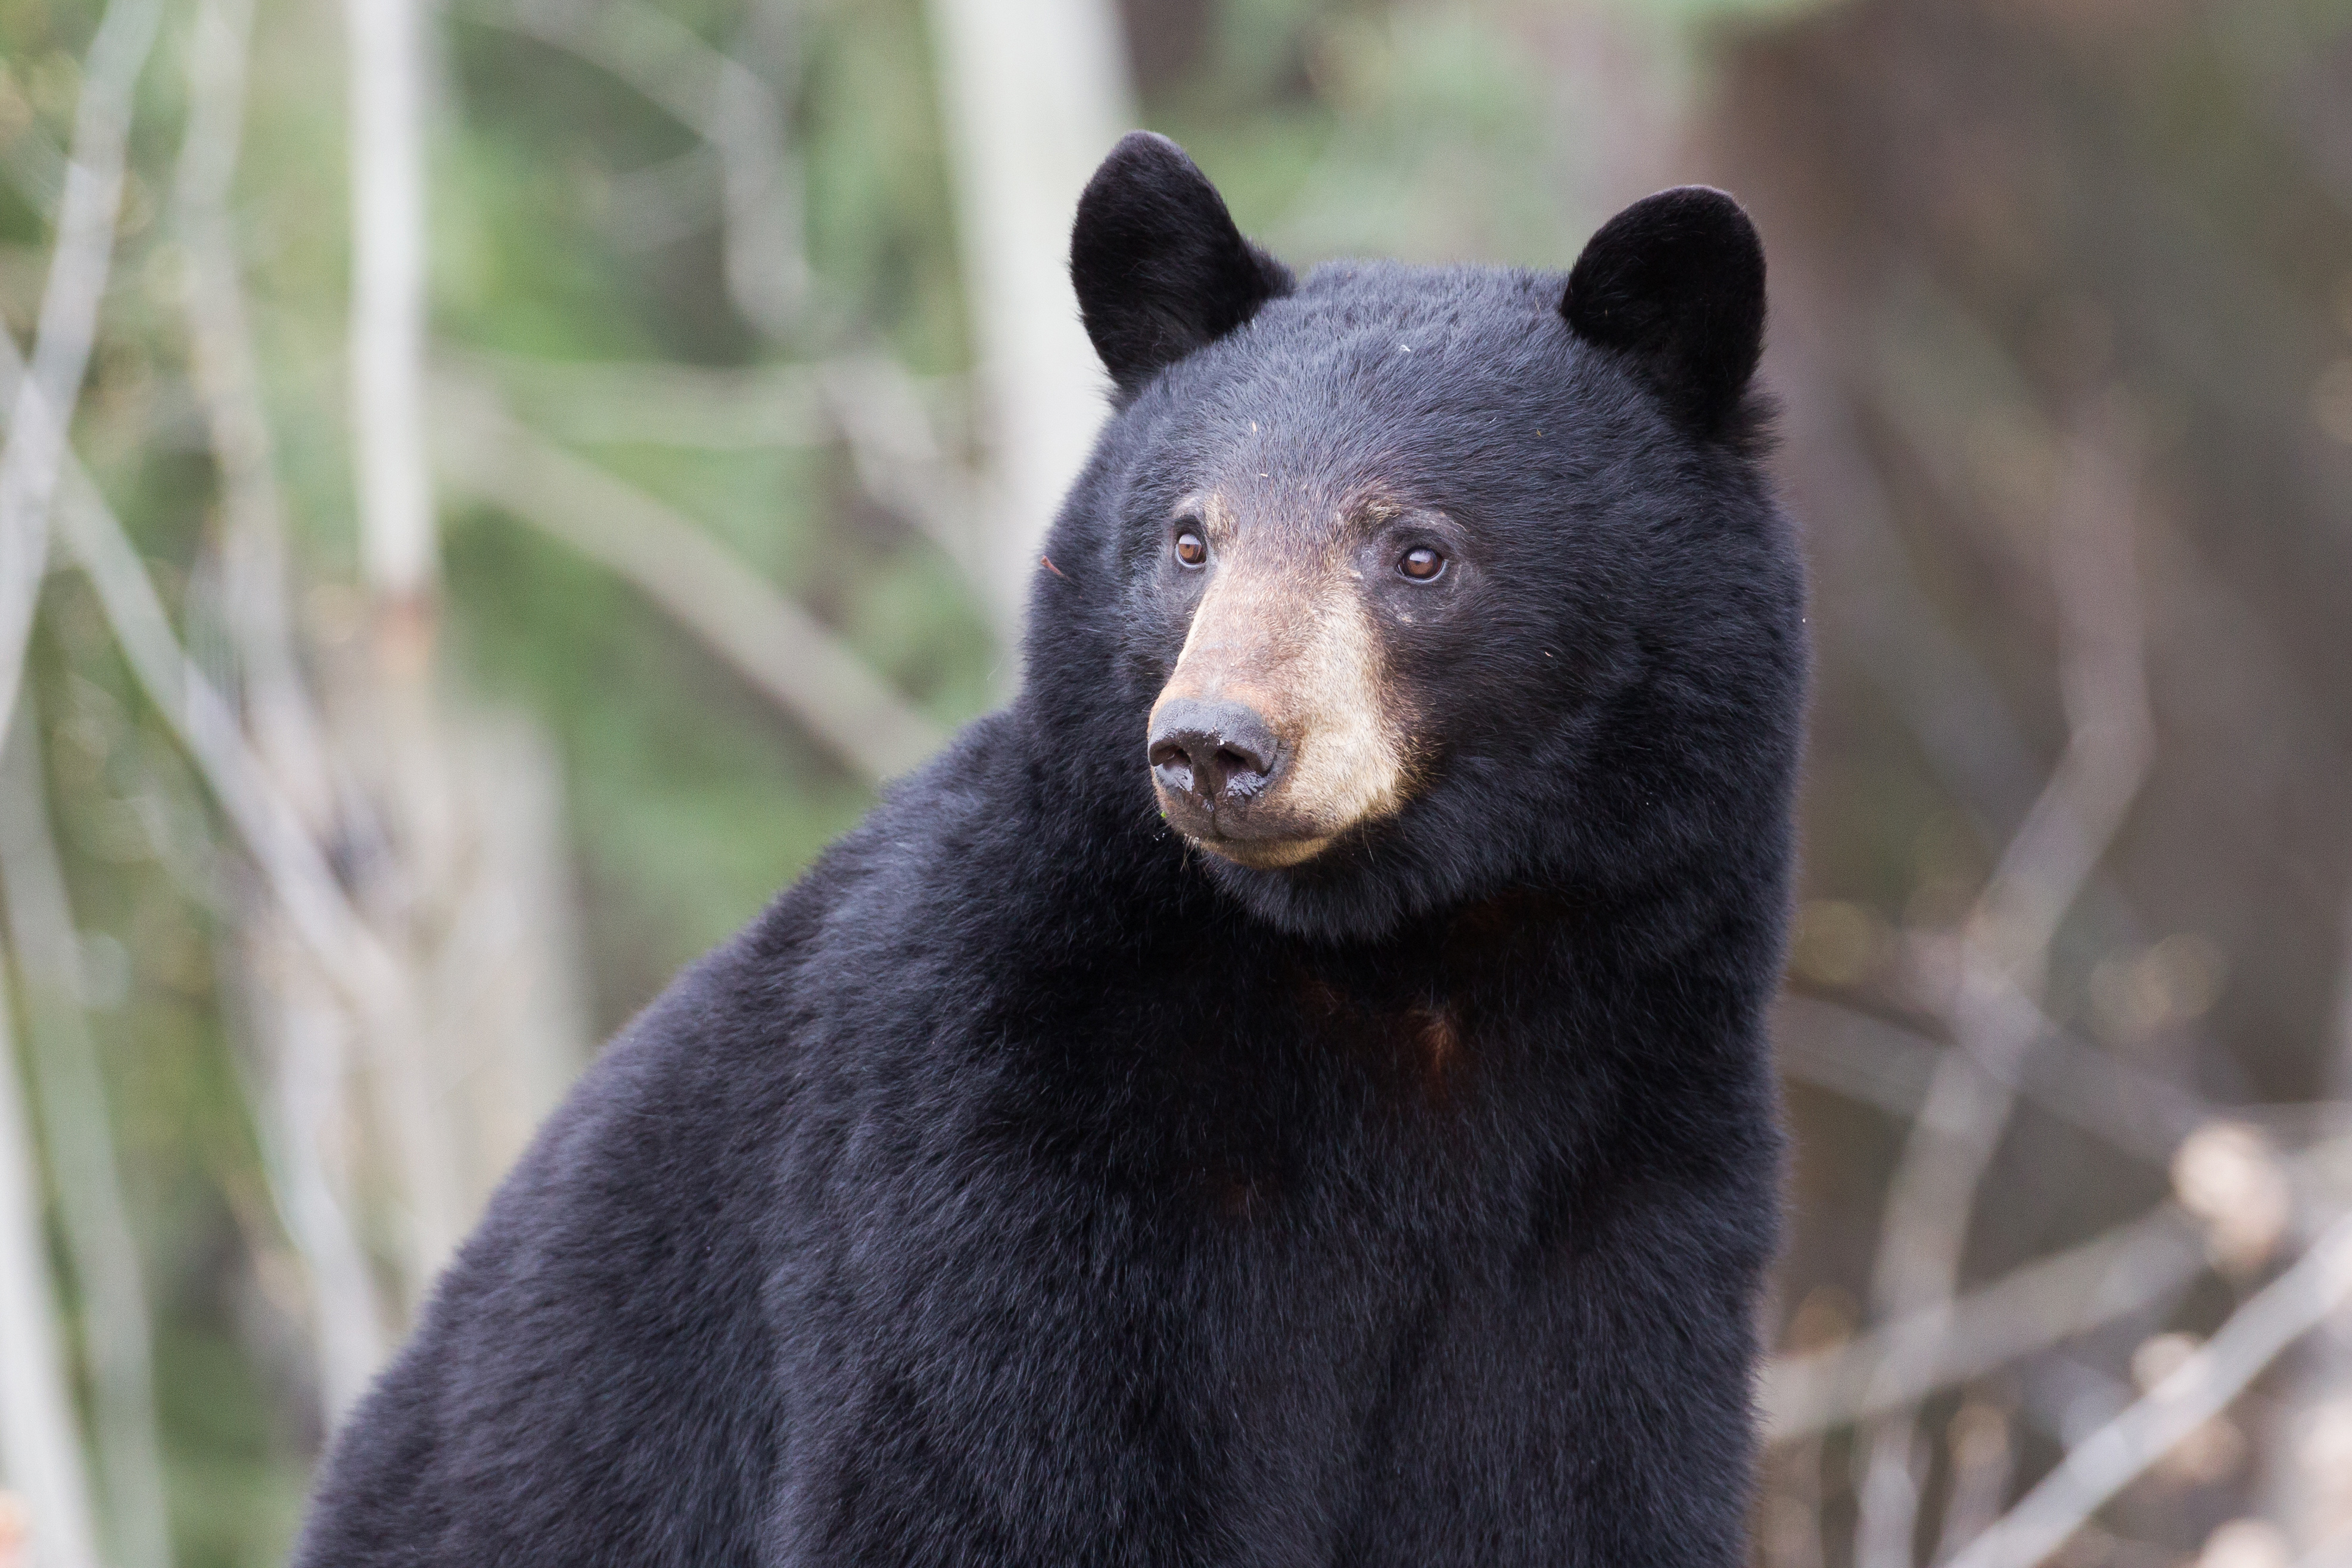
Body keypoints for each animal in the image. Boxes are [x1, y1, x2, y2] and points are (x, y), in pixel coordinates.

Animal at [294, 135, 1797, 1568]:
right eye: (1189, 540)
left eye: (1417, 552)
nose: (1213, 746)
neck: (1399, 969)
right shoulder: (999, 1123)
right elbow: (990, 1471)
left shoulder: (1625, 1183)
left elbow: (1580, 1480)